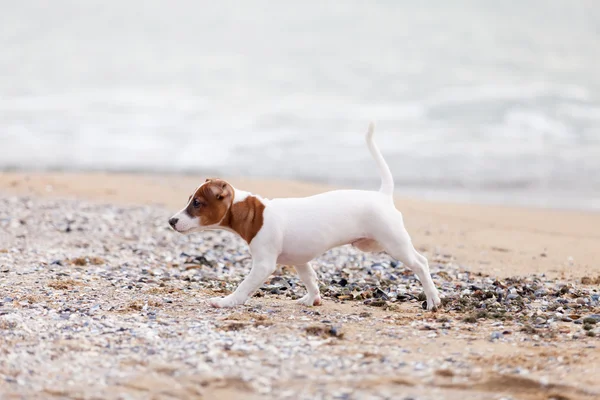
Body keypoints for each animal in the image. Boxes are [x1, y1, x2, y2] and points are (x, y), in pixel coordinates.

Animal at [169, 123, 440, 310]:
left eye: (197, 203)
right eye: (190, 200)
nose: (171, 221)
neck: (254, 213)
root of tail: (383, 195)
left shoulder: (264, 264)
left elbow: (244, 286)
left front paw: (226, 301)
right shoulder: (300, 260)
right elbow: (310, 278)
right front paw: (312, 299)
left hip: (394, 243)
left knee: (421, 264)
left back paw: (433, 298)